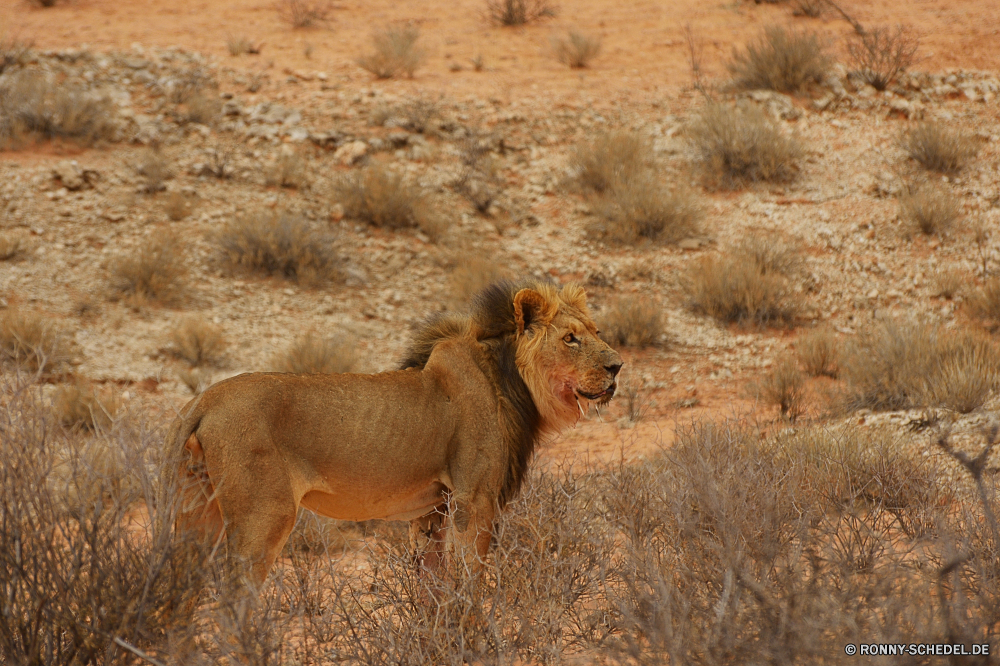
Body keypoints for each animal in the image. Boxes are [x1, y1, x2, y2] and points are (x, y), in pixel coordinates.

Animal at [168, 278, 620, 584]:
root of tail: (203, 400)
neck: (509, 382)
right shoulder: (474, 499)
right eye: (570, 339)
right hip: (265, 516)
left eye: (597, 332)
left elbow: (434, 586)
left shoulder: (433, 510)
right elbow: (470, 584)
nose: (617, 366)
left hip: (197, 510)